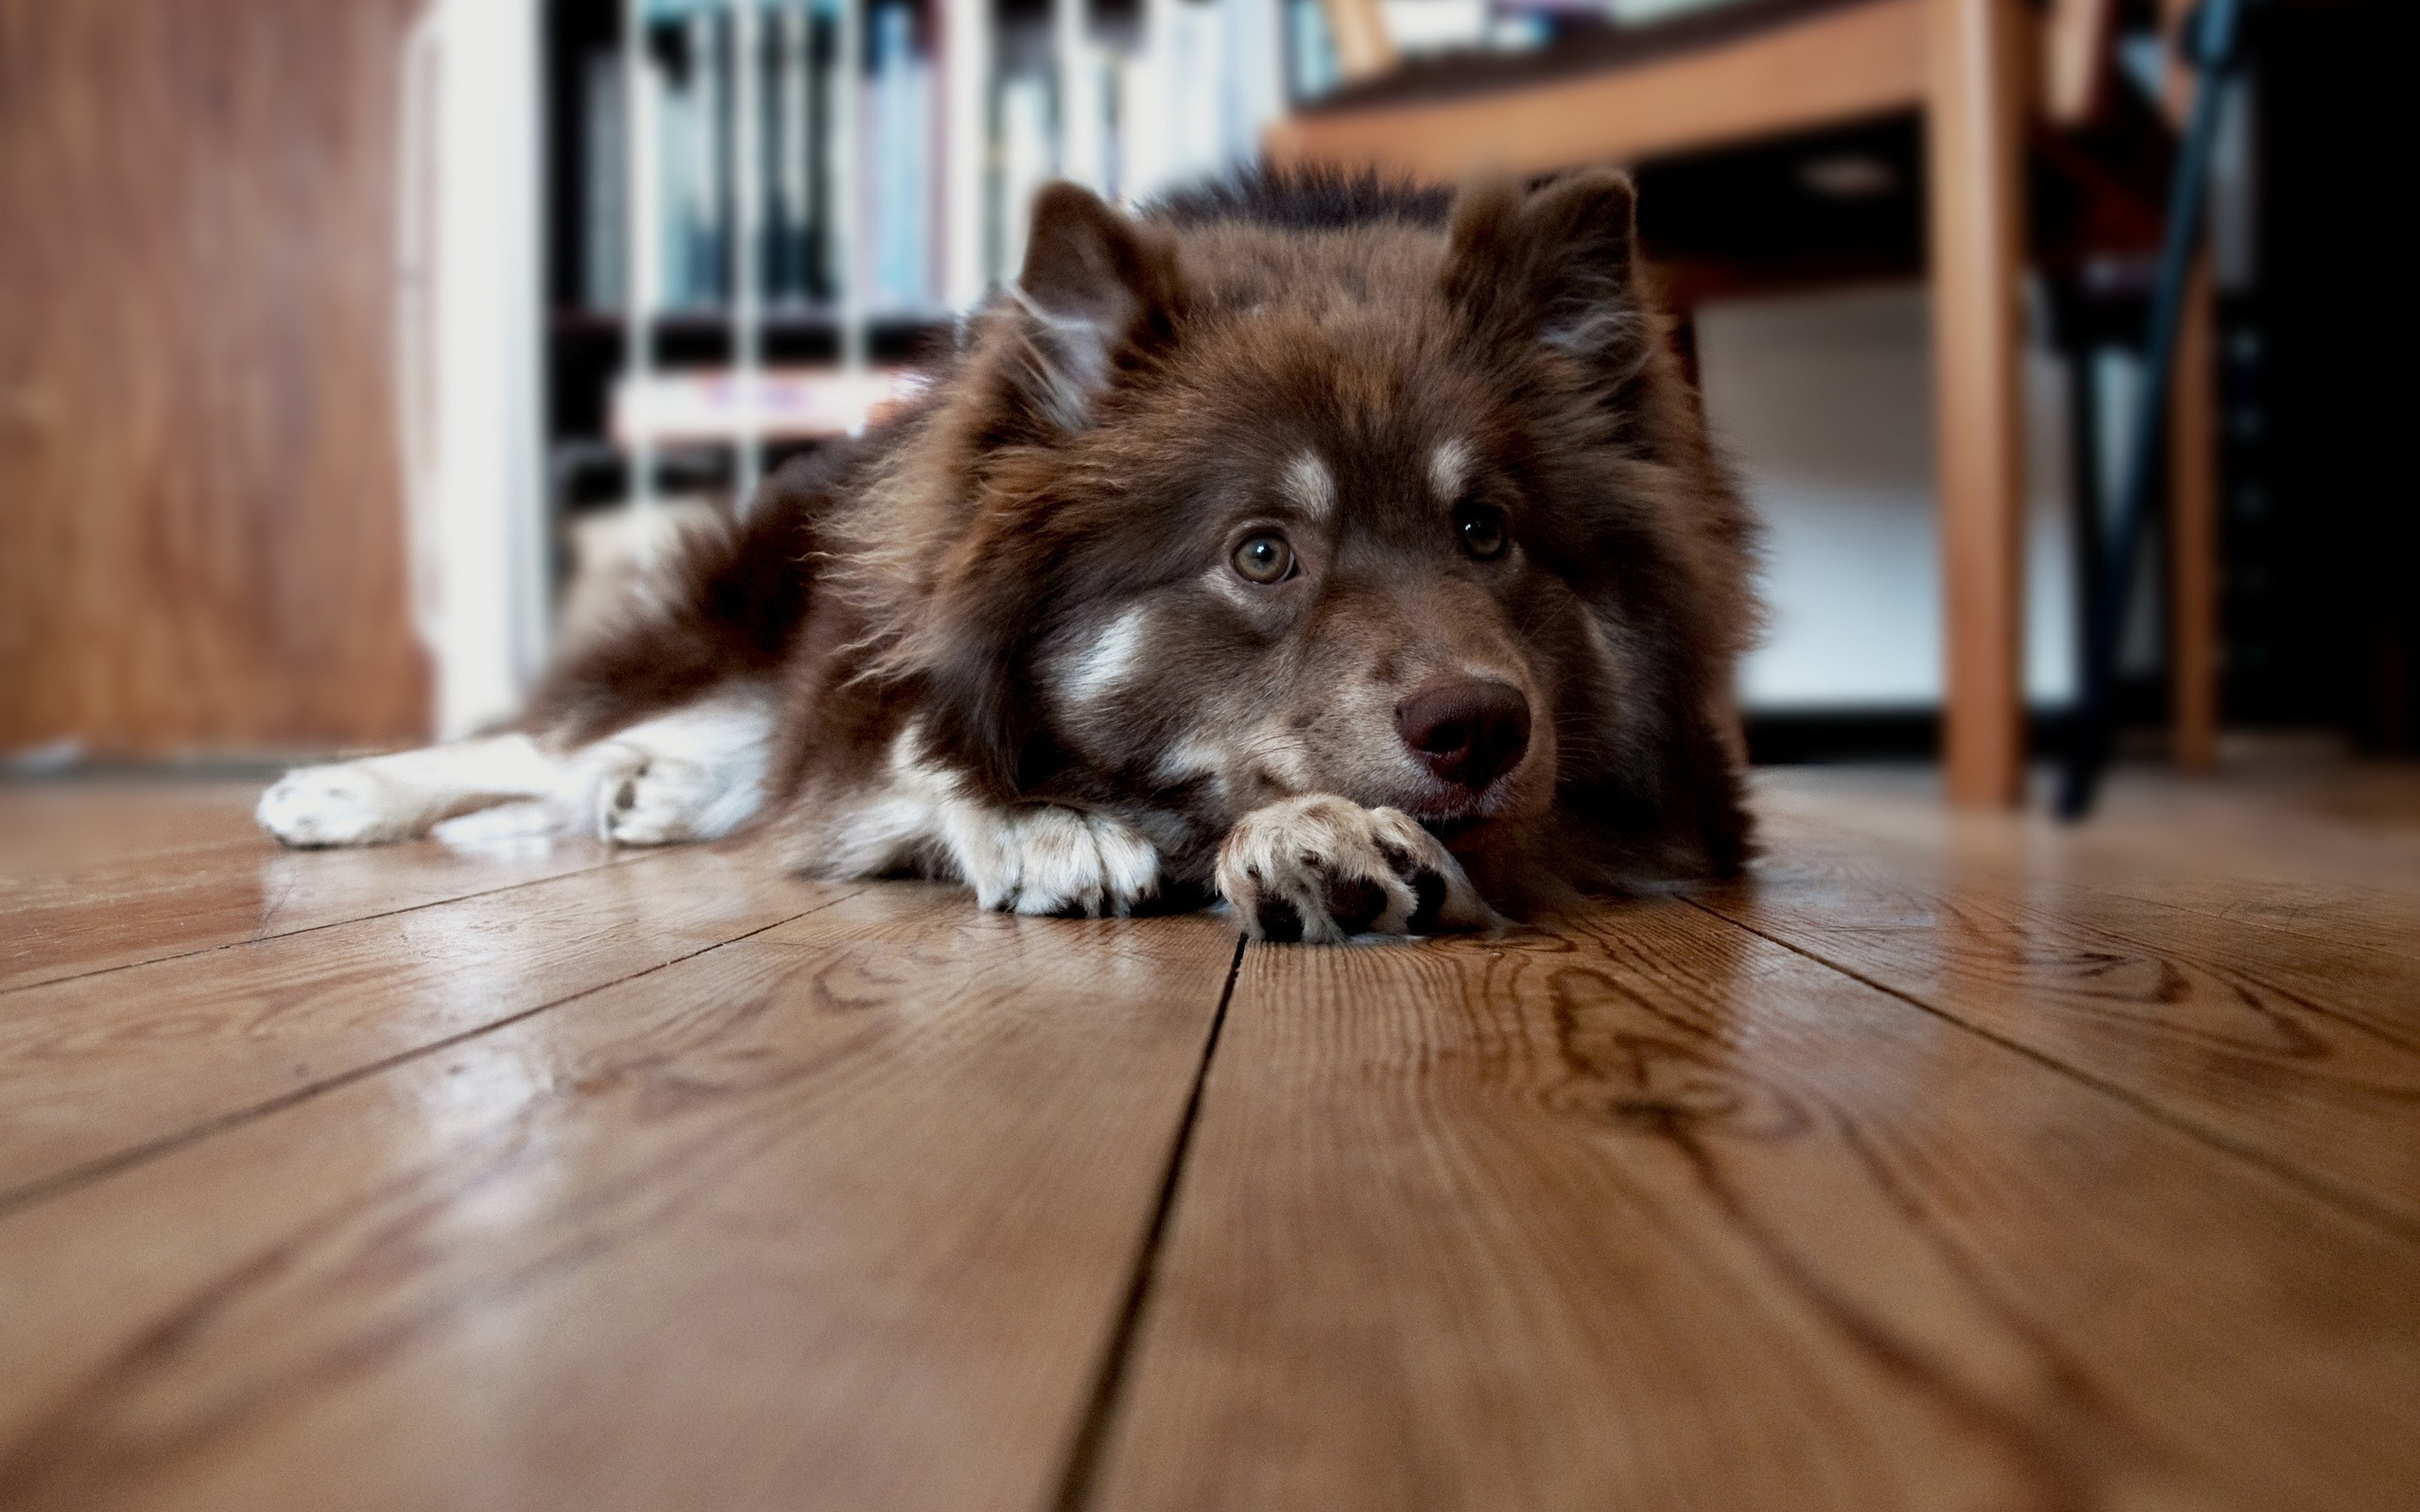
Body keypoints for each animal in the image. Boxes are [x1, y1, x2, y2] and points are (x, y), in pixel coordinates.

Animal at [255, 167, 1761, 943]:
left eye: (1485, 530)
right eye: (1262, 552)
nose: (1480, 728)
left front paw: (1309, 834)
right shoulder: (873, 680)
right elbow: (919, 755)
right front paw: (1048, 818)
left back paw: (656, 792)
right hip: (735, 613)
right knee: (542, 739)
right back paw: (346, 792)